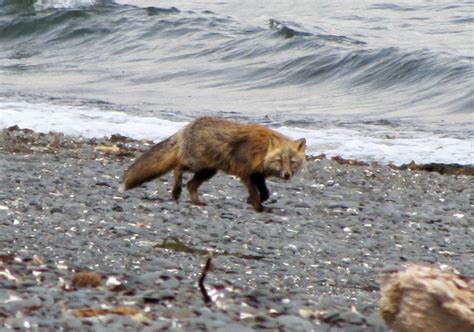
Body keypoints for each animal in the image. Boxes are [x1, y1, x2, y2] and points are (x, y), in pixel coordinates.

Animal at [118, 116, 308, 213]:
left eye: (292, 162)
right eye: (279, 161)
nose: (286, 175)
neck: (260, 152)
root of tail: (185, 128)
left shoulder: (258, 175)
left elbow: (265, 193)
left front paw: (254, 202)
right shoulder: (246, 173)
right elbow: (255, 193)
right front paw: (258, 207)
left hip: (208, 171)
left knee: (191, 184)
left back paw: (197, 202)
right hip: (196, 164)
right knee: (178, 168)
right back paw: (176, 191)